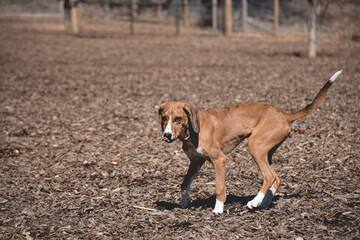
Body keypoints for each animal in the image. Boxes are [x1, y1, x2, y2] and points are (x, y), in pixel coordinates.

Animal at [158, 70, 344, 214]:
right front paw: (184, 201)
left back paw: (254, 202)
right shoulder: (196, 162)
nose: (166, 135)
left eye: (178, 118)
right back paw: (263, 203)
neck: (192, 132)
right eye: (164, 118)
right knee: (276, 178)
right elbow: (184, 183)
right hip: (266, 152)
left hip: (255, 146)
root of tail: (284, 114)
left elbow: (219, 187)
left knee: (269, 176)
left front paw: (218, 208)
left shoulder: (220, 160)